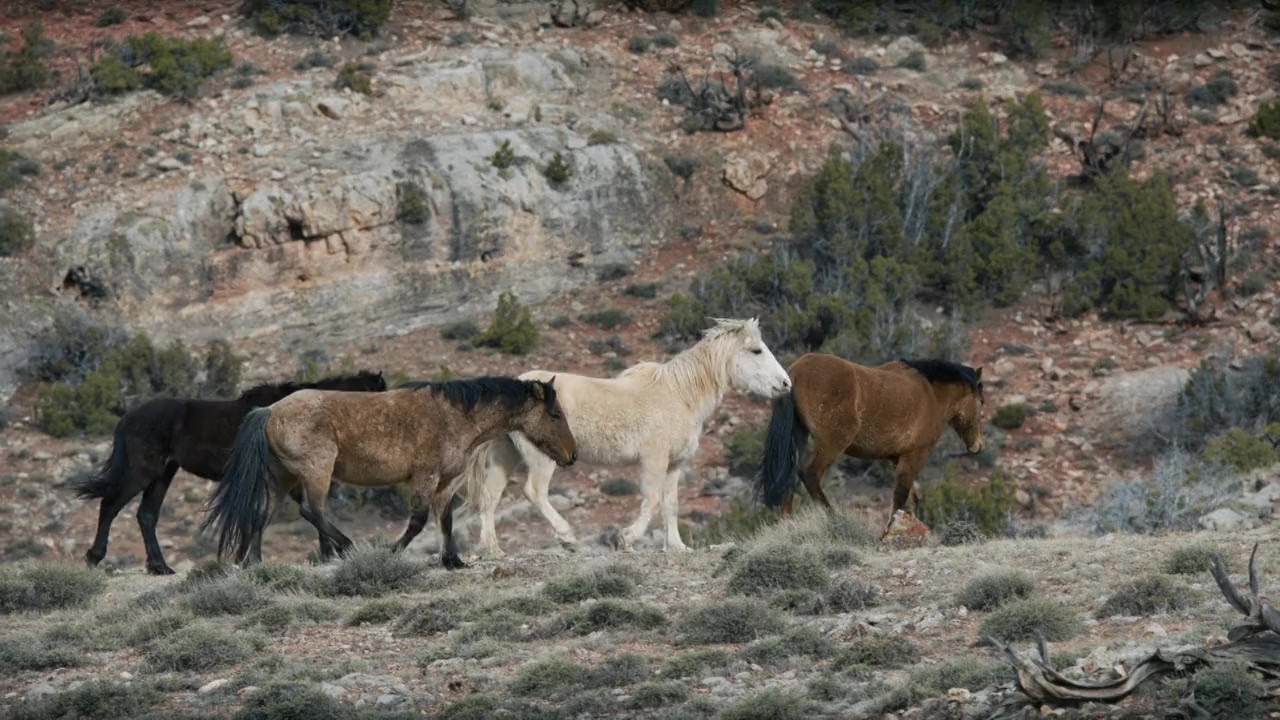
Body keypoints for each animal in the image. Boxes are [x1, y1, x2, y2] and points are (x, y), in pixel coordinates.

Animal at [72, 370, 388, 575]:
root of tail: (127, 418)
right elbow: (285, 513)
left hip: (163, 474)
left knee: (146, 516)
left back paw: (161, 567)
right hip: (143, 471)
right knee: (110, 506)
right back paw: (94, 558)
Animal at [200, 376, 577, 570]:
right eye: (555, 414)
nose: (572, 455)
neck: (454, 414)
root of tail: (270, 410)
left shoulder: (446, 482)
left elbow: (444, 520)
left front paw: (453, 560)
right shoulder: (425, 477)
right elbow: (418, 521)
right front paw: (391, 553)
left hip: (282, 478)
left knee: (261, 515)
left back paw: (256, 564)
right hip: (316, 471)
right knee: (312, 511)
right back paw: (349, 547)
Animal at [456, 317, 792, 558]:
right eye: (756, 350)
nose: (785, 384)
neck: (680, 394)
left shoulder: (674, 464)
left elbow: (670, 504)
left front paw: (677, 546)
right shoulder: (654, 459)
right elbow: (652, 500)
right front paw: (627, 538)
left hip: (506, 454)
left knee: (490, 496)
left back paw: (492, 550)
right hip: (541, 457)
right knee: (534, 491)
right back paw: (568, 537)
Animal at [756, 353, 986, 528]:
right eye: (981, 402)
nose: (978, 446)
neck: (931, 394)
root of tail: (794, 373)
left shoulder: (897, 457)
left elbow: (910, 499)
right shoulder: (915, 455)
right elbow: (901, 497)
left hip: (799, 439)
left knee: (790, 479)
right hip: (832, 444)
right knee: (809, 475)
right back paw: (834, 520)